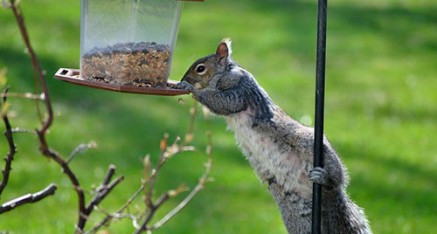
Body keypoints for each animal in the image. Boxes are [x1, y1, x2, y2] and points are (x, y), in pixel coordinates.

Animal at [177, 39, 372, 233]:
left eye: (200, 68)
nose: (182, 80)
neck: (224, 73)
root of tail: (327, 196)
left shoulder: (238, 87)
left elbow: (223, 103)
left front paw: (191, 90)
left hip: (309, 143)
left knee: (337, 179)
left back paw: (325, 178)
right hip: (294, 210)